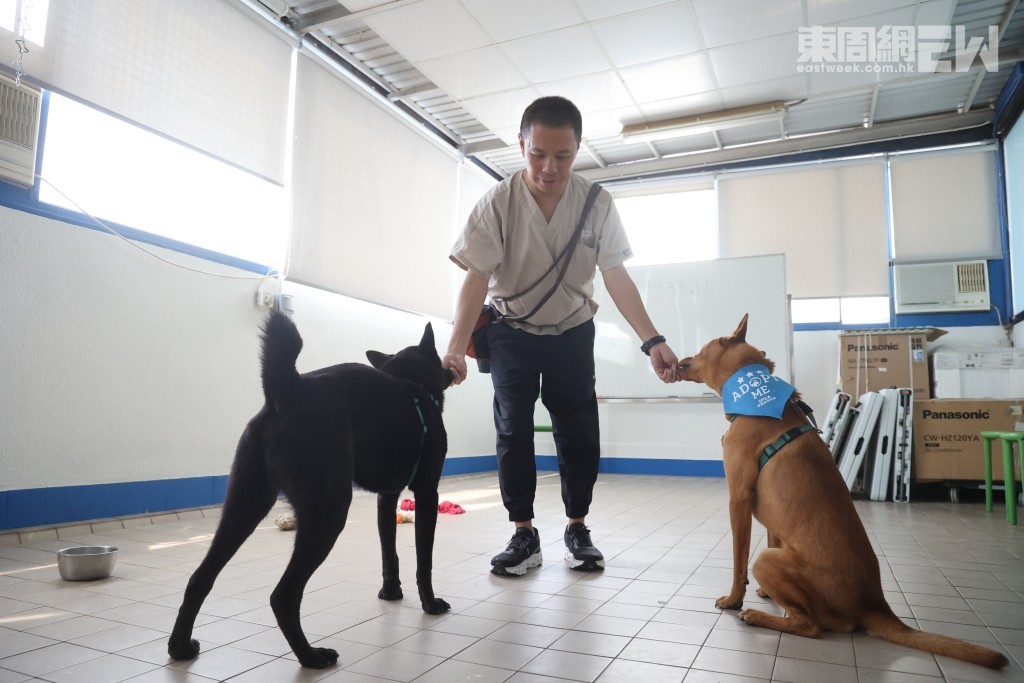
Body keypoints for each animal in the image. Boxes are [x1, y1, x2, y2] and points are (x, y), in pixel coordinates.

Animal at [168, 313, 452, 671]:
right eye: (440, 359)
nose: (452, 370)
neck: (413, 383)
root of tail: (287, 389)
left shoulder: (385, 497)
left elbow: (389, 552)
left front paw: (390, 593)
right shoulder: (427, 492)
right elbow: (423, 559)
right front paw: (430, 603)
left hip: (245, 504)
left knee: (200, 578)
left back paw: (180, 647)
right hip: (328, 510)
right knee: (283, 595)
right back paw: (311, 656)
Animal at [675, 317, 1003, 671]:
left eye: (702, 348)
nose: (680, 360)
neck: (753, 395)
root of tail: (875, 603)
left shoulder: (738, 500)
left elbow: (738, 562)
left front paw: (734, 599)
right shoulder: (772, 524)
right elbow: (771, 536)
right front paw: (763, 592)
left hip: (766, 561)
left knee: (809, 626)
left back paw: (756, 616)